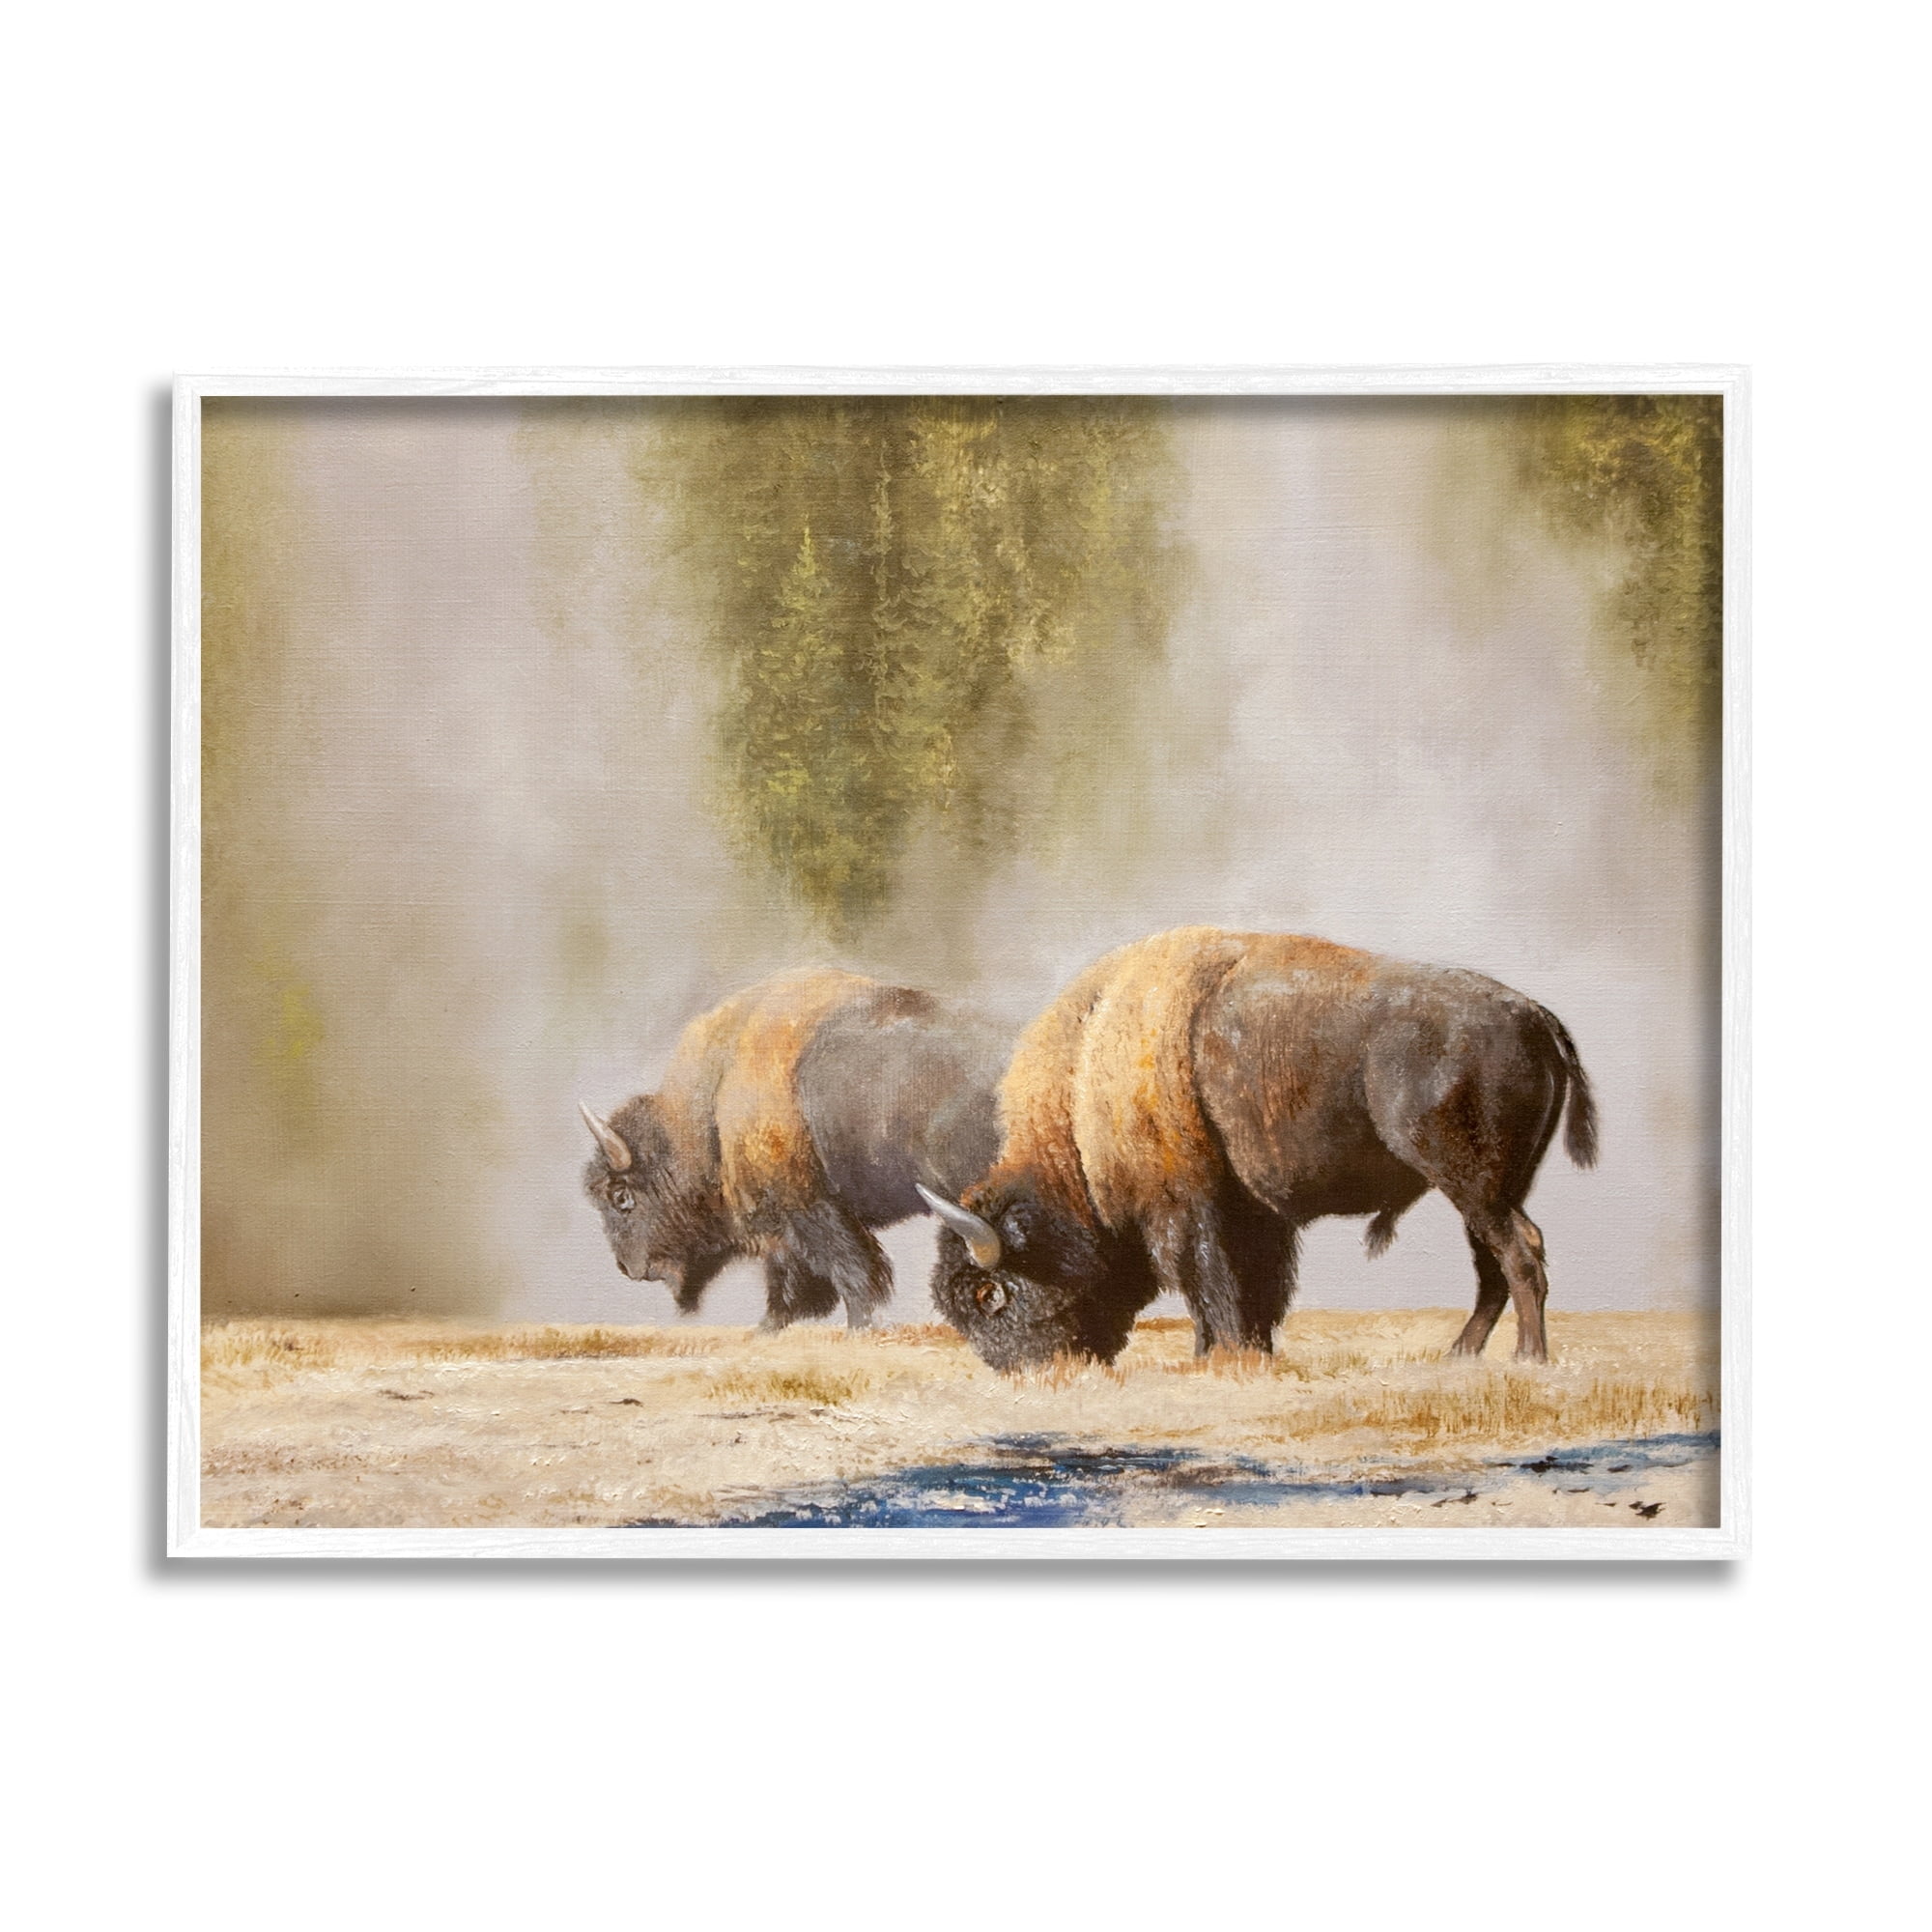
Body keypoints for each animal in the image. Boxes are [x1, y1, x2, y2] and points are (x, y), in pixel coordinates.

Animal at [581, 970, 1007, 1329]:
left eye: (621, 1197)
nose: (626, 1267)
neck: (709, 1111)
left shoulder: (808, 1208)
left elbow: (850, 1271)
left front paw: (861, 1325)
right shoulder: (784, 1228)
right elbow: (792, 1283)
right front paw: (769, 1327)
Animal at [918, 926, 1596, 1369]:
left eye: (988, 1294)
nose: (1029, 1371)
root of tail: (1534, 1014)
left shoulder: (1185, 1209)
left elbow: (1210, 1284)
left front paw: (1223, 1355)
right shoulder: (1250, 1213)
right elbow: (1255, 1286)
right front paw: (1248, 1352)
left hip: (1470, 1181)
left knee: (1518, 1252)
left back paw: (1527, 1359)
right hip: (1491, 1187)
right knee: (1495, 1262)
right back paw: (1460, 1355)